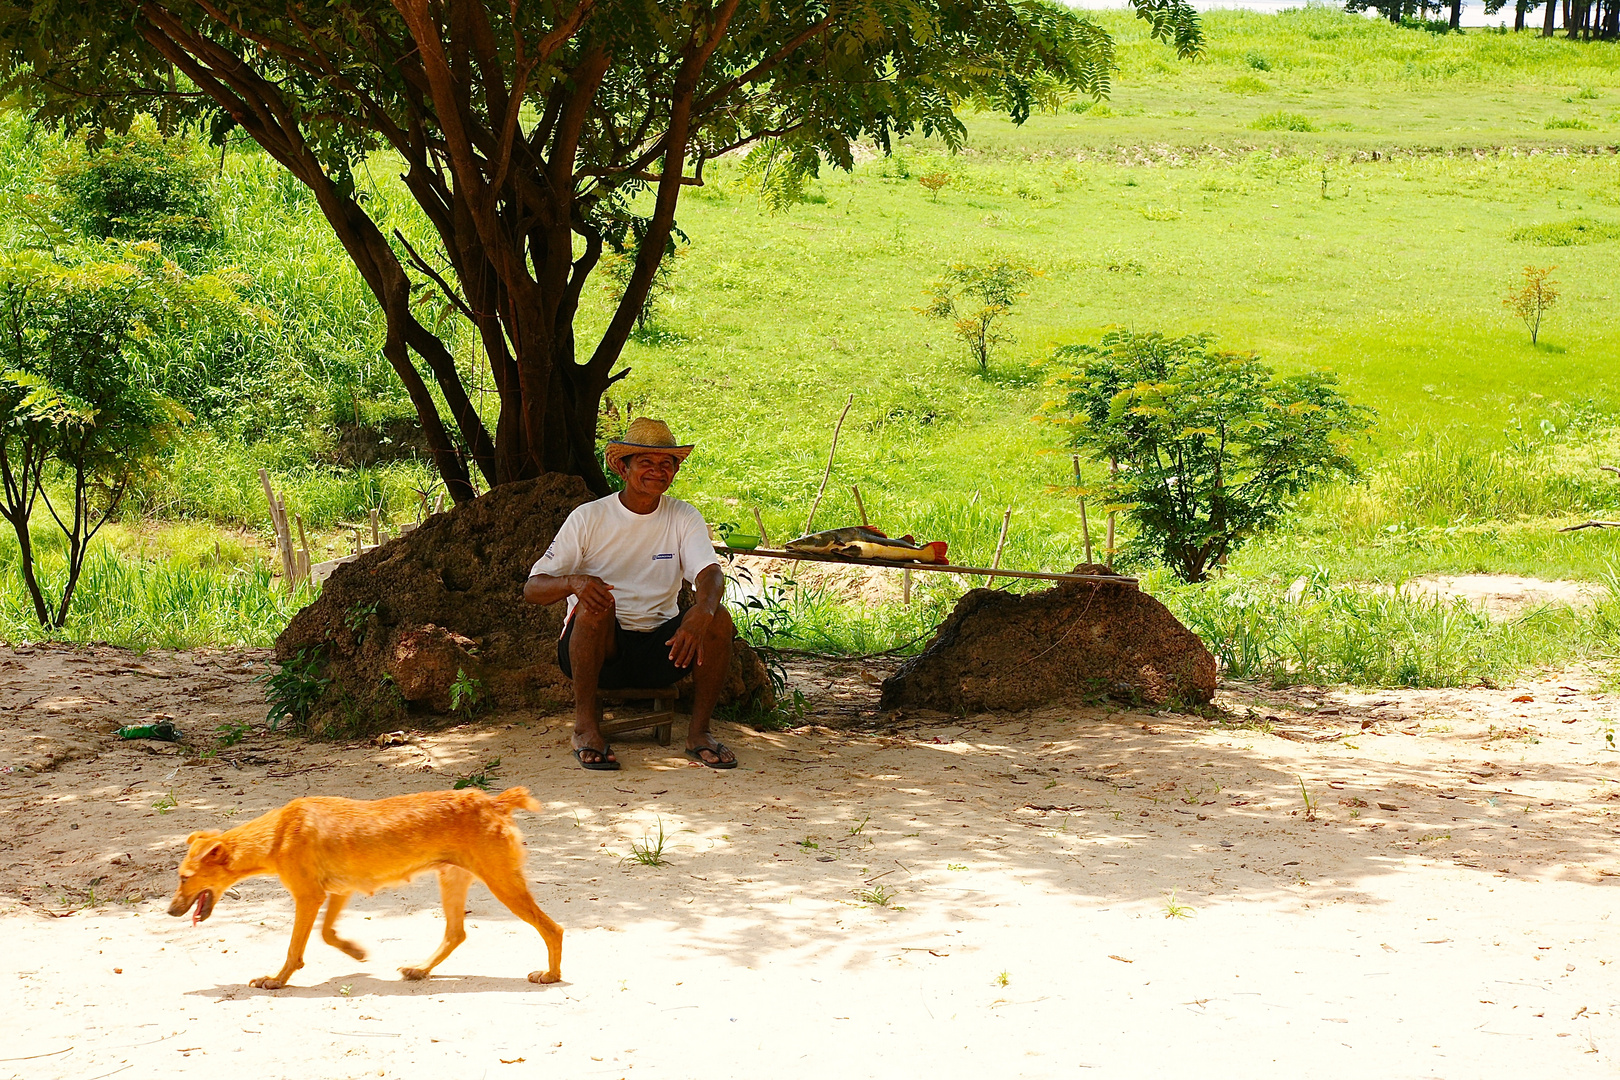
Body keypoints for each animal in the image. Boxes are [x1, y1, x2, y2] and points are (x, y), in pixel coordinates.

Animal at [169, 786, 563, 990]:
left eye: (184, 877)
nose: (170, 911)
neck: (278, 832)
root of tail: (493, 800)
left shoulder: (309, 897)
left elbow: (294, 949)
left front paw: (276, 980)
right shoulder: (338, 892)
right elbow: (327, 934)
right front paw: (355, 952)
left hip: (502, 883)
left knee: (553, 928)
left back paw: (551, 975)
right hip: (453, 880)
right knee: (456, 933)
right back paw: (420, 969)